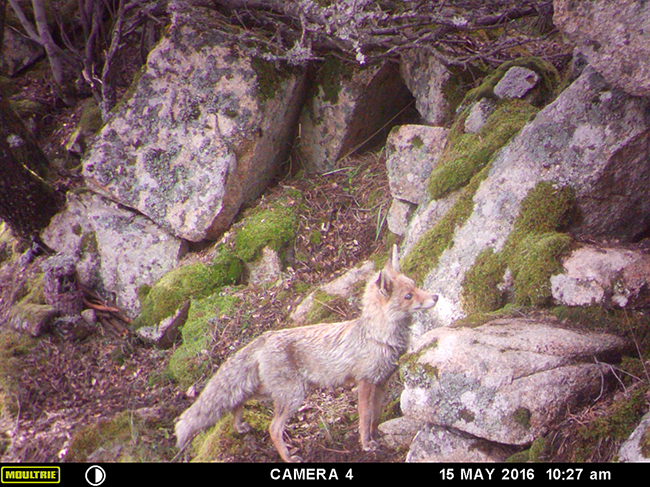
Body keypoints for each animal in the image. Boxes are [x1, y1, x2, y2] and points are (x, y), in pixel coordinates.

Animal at [173, 246, 436, 464]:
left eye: (416, 286)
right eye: (408, 296)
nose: (435, 297)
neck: (379, 337)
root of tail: (266, 336)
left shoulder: (381, 382)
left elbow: (375, 416)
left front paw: (375, 438)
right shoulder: (365, 382)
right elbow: (364, 418)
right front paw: (366, 445)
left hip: (275, 391)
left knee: (238, 399)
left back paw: (239, 426)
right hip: (293, 396)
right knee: (272, 428)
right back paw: (288, 458)